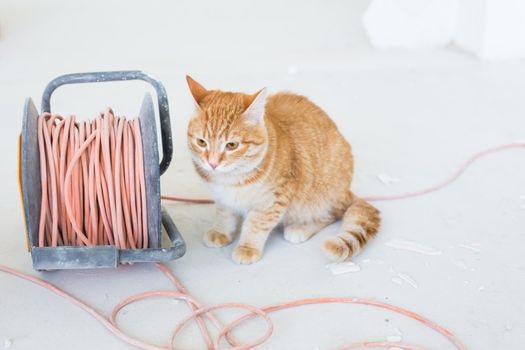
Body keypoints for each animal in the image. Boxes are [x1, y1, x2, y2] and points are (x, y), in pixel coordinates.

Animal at [186, 75, 378, 264]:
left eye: (232, 145)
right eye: (201, 142)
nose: (212, 163)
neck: (230, 180)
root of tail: (346, 191)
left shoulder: (273, 200)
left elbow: (256, 224)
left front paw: (247, 248)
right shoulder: (222, 197)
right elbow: (224, 214)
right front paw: (221, 231)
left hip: (320, 196)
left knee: (331, 214)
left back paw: (300, 228)